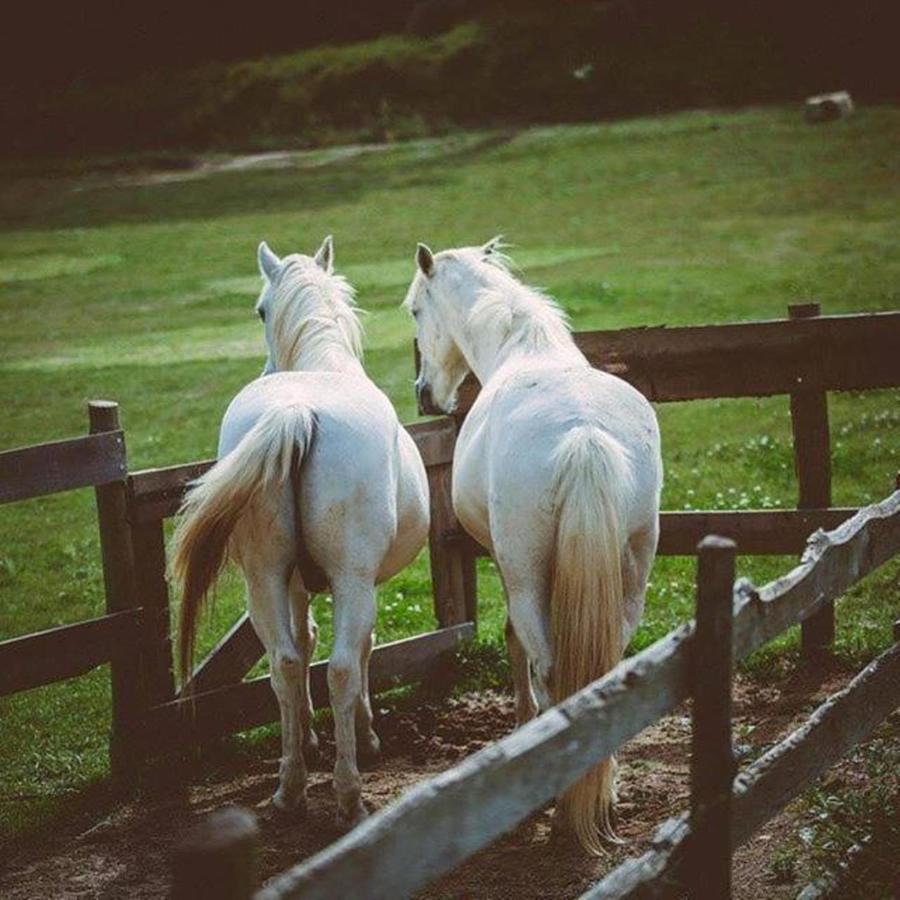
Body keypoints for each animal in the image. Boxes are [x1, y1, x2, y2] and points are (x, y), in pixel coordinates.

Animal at [177, 236, 432, 828]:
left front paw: (312, 738)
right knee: (340, 667)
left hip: (265, 576)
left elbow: (305, 640)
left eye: (259, 310)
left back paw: (290, 788)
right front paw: (364, 734)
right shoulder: (359, 581)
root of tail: (298, 410)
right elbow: (361, 649)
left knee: (285, 664)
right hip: (351, 579)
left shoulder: (295, 579)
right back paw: (349, 793)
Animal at [406, 237, 660, 852]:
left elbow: (513, 639)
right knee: (610, 661)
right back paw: (604, 786)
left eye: (415, 310)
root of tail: (584, 436)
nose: (425, 395)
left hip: (526, 573)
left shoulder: (506, 563)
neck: (525, 350)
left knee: (548, 665)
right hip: (633, 572)